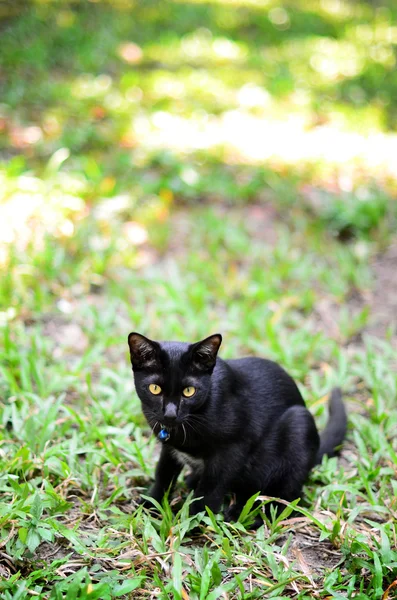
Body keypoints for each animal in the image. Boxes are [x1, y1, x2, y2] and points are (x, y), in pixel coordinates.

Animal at [128, 330, 344, 524]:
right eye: (155, 389)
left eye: (189, 391)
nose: (170, 414)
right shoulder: (169, 446)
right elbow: (163, 474)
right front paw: (149, 504)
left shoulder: (233, 449)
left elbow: (211, 488)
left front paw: (194, 521)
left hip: (299, 424)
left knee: (286, 496)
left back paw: (249, 515)